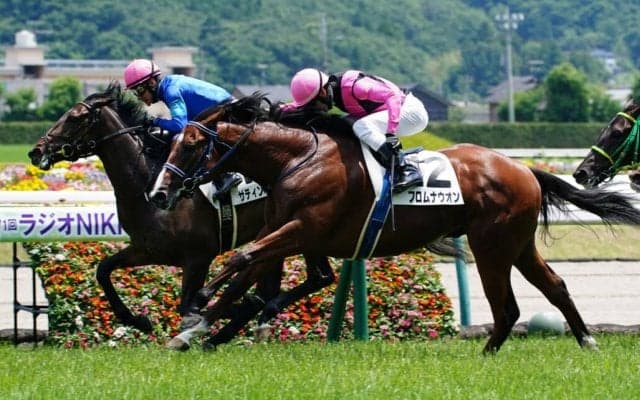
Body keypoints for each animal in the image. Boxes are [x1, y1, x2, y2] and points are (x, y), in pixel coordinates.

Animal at [27, 83, 337, 346]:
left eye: (74, 117)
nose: (35, 151)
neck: (148, 186)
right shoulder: (148, 250)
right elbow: (103, 270)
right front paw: (138, 320)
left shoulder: (198, 257)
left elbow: (190, 304)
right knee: (314, 278)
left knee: (302, 281)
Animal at [149, 99, 640, 353]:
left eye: (189, 145)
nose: (159, 193)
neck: (297, 160)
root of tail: (523, 169)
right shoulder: (297, 234)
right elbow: (258, 272)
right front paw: (195, 328)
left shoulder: (301, 228)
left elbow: (242, 258)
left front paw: (197, 308)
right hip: (517, 245)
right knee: (554, 286)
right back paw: (585, 341)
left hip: (492, 246)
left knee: (509, 308)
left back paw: (488, 354)